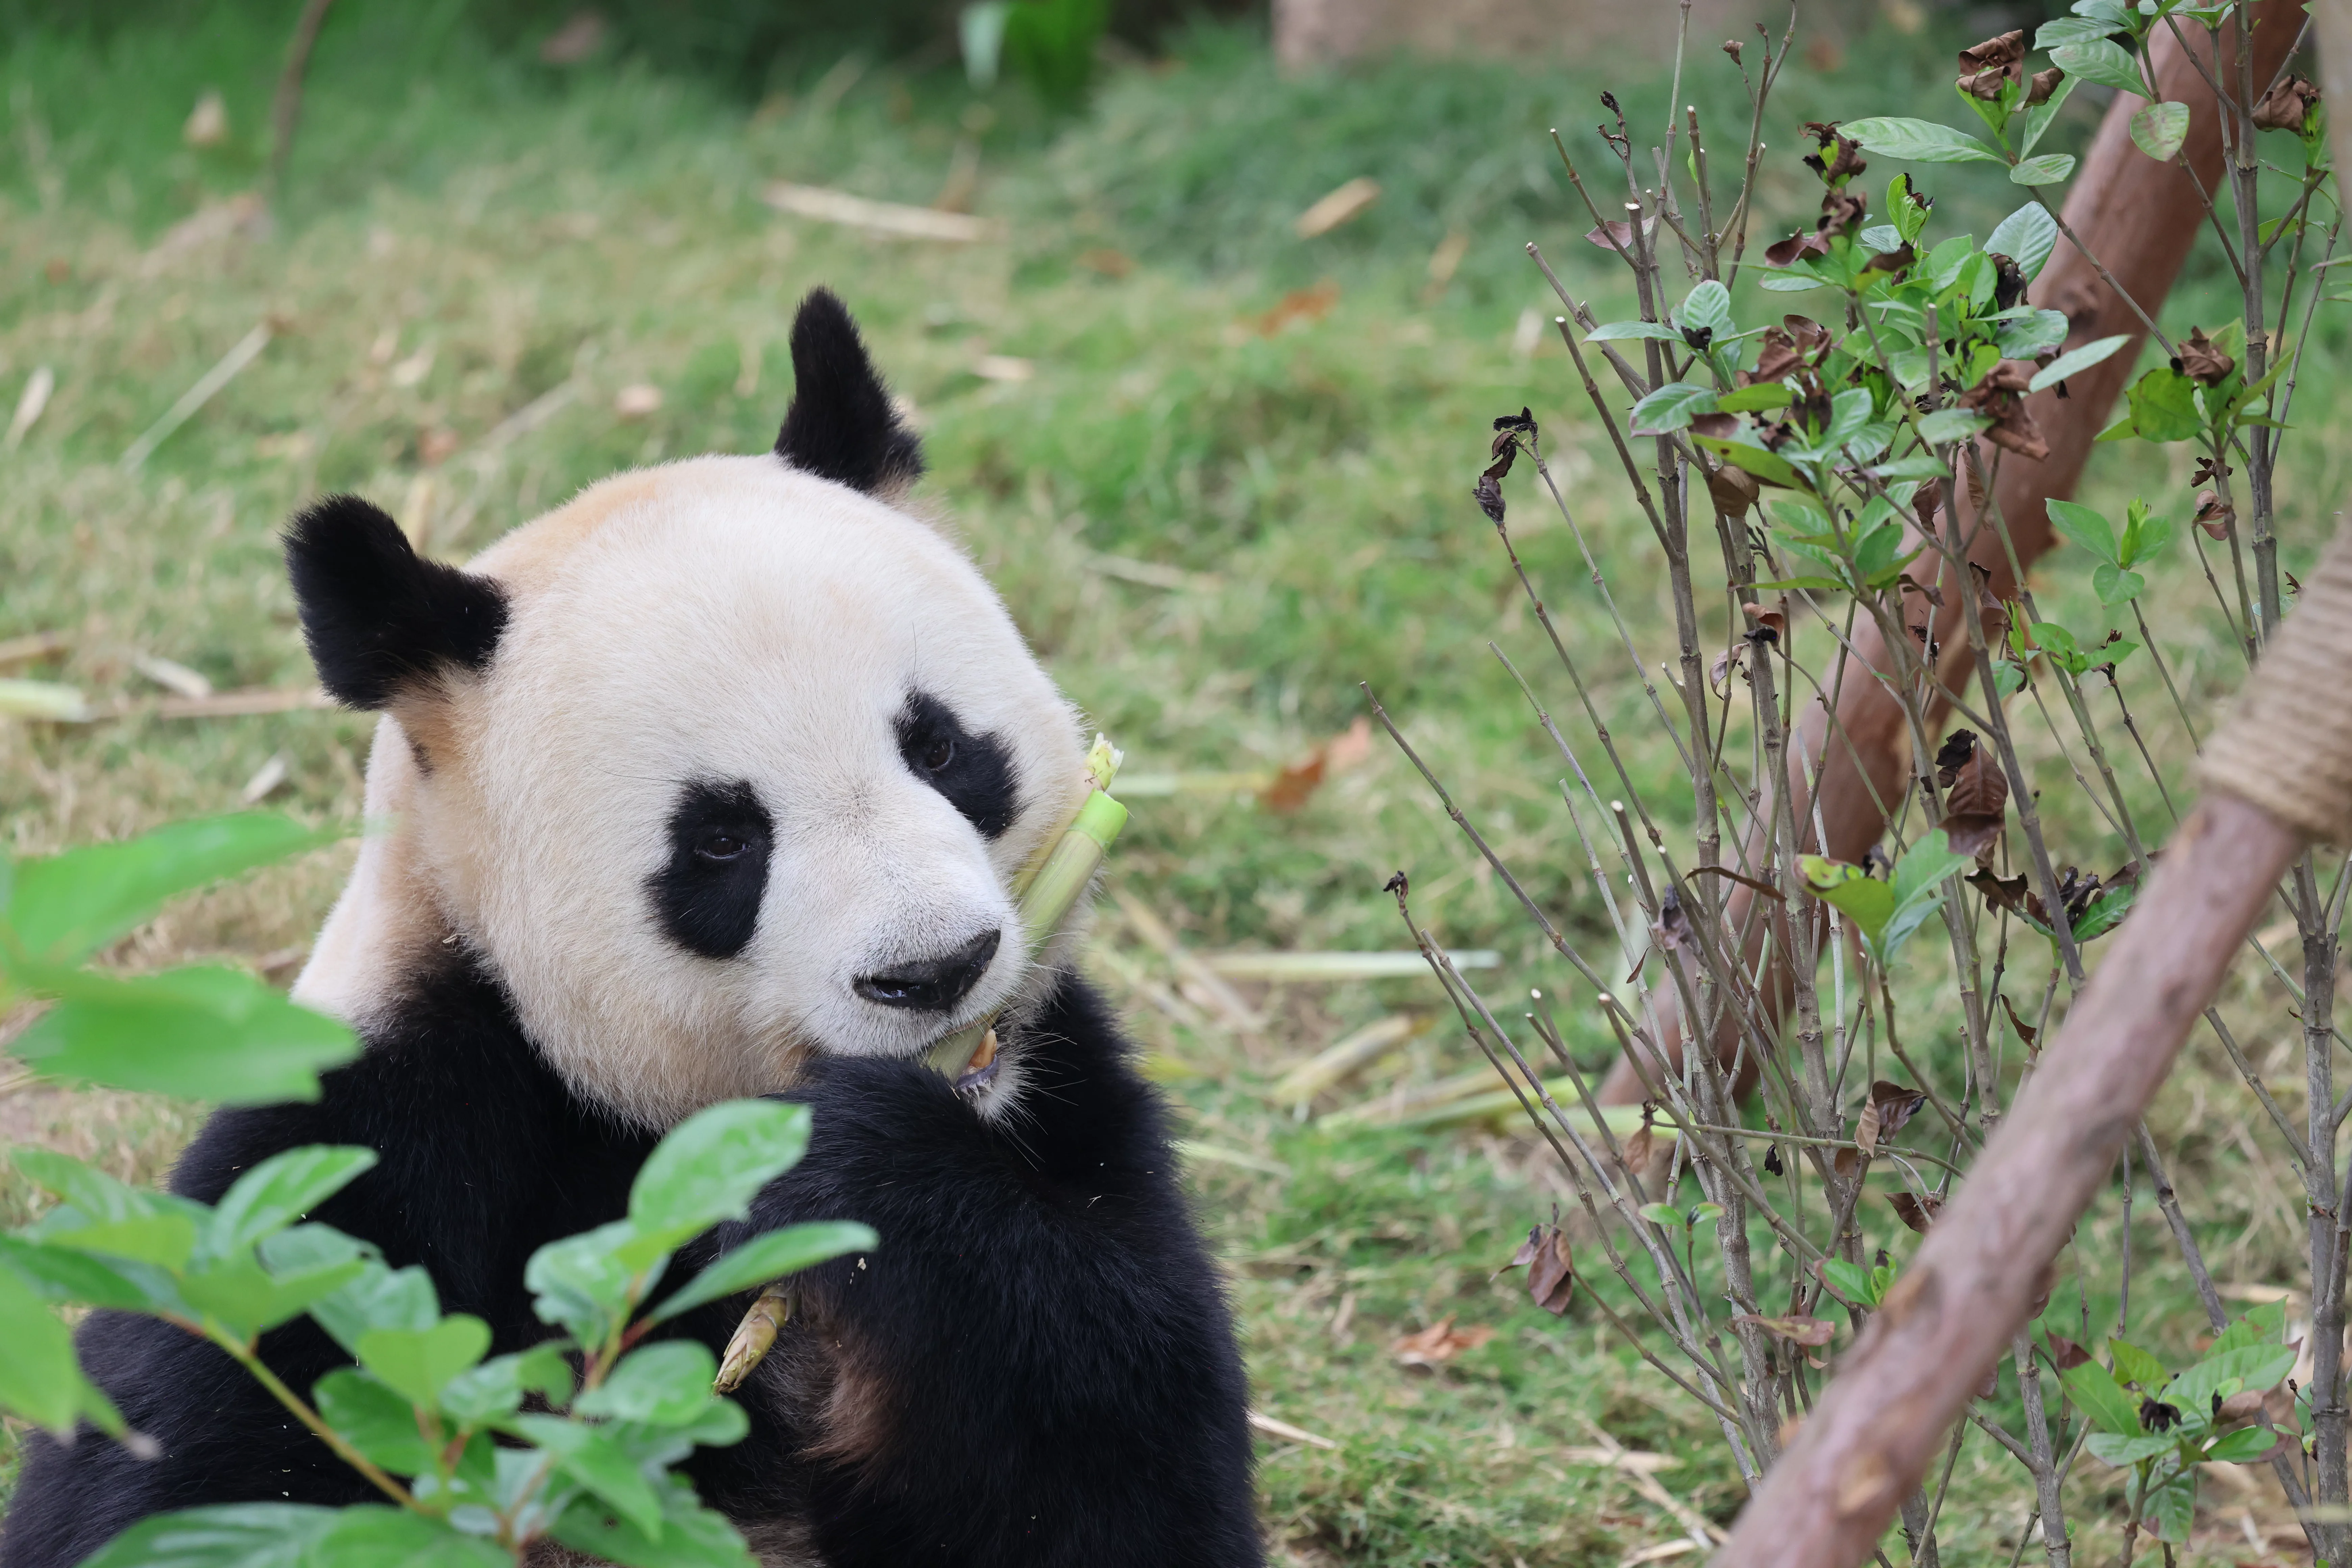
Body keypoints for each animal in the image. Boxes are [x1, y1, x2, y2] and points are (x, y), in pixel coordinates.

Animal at [1, 291, 1262, 1568]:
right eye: (722, 841)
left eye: (942, 747)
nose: (935, 970)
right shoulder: (363, 1137)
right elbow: (179, 1466)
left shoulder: (1069, 1104)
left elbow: (1121, 1458)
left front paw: (862, 1164)